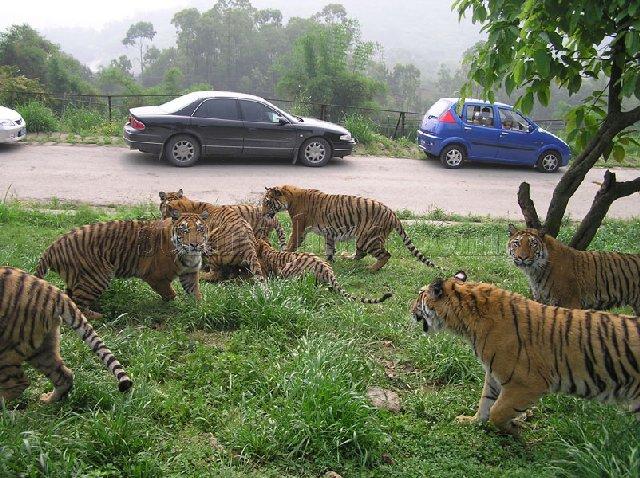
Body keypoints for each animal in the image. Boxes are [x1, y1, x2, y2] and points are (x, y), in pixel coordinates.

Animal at [0, 268, 132, 406]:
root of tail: (53, 291)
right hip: (42, 347)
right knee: (64, 375)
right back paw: (49, 400)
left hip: (8, 349)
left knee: (19, 383)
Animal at [34, 210, 210, 320]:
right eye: (184, 230)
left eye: (200, 229)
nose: (195, 245)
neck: (188, 255)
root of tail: (52, 247)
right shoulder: (156, 278)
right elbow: (170, 294)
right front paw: (176, 306)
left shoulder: (190, 273)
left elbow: (195, 292)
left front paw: (200, 307)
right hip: (98, 276)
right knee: (78, 303)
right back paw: (99, 316)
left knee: (70, 298)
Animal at [412, 270, 640, 436]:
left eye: (420, 295)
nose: (409, 308)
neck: (466, 321)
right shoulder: (494, 373)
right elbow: (486, 401)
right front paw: (472, 421)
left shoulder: (528, 384)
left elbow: (497, 411)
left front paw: (513, 429)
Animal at [508, 224, 636, 314]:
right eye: (517, 243)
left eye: (532, 244)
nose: (522, 257)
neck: (535, 271)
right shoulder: (541, 301)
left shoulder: (570, 302)